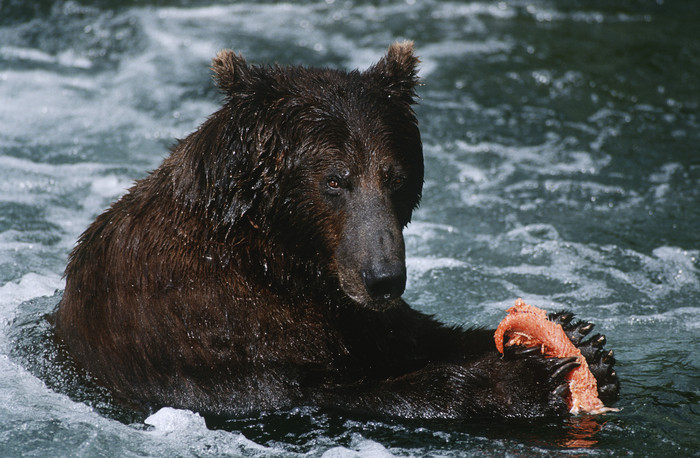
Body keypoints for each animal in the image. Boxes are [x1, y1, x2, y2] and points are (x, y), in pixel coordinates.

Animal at [56, 42, 616, 418]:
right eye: (333, 179)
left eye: (395, 176)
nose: (384, 278)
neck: (278, 257)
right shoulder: (207, 325)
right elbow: (328, 390)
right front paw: (521, 379)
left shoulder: (352, 310)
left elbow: (416, 334)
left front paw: (583, 342)